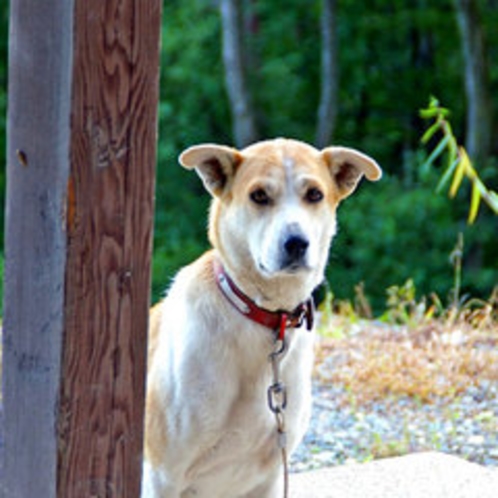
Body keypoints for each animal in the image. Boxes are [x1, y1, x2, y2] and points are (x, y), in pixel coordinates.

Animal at [142, 138, 384, 496]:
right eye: (258, 196)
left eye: (314, 194)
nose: (296, 243)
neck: (266, 319)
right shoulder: (162, 476)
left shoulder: (269, 477)